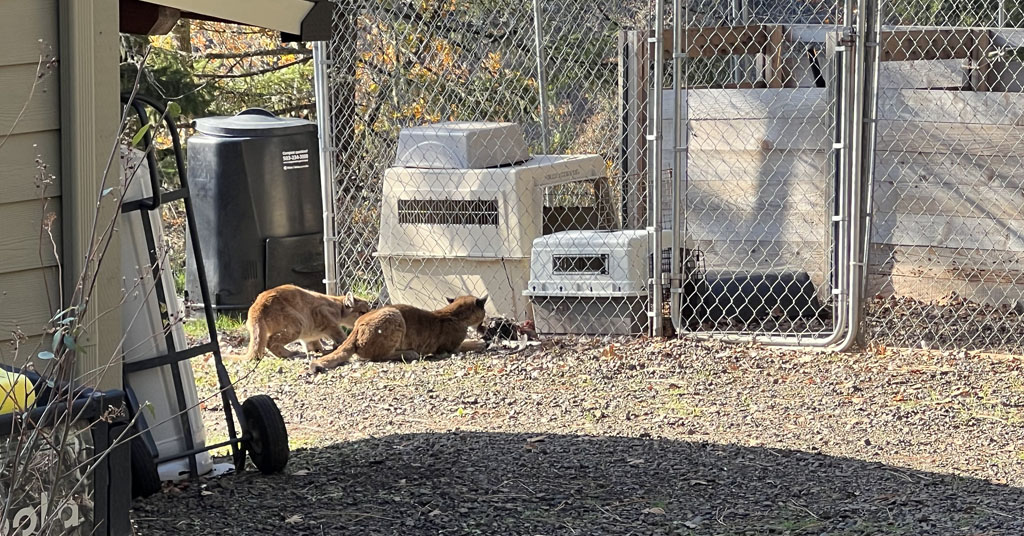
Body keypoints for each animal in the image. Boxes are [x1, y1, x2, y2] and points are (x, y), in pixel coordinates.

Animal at [242, 284, 372, 360]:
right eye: (363, 312)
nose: (369, 315)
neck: (338, 307)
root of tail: (257, 306)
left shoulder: (309, 332)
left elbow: (313, 342)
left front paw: (319, 349)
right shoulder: (324, 316)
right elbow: (340, 335)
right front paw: (343, 344)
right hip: (297, 323)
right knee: (270, 341)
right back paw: (290, 354)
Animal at [307, 293, 487, 373]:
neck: (453, 312)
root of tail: (357, 324)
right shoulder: (451, 347)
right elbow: (467, 344)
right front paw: (481, 342)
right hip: (395, 317)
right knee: (379, 357)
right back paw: (410, 353)